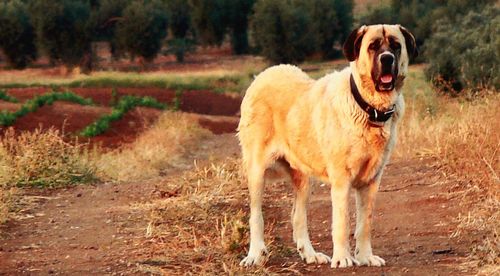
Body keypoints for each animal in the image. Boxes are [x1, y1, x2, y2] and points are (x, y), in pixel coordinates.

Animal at [238, 24, 418, 268]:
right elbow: (342, 222)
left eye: (396, 45)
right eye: (373, 46)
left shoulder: (371, 181)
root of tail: (262, 75)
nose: (387, 58)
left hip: (304, 178)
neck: (368, 109)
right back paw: (255, 254)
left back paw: (310, 254)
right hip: (257, 170)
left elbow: (365, 224)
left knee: (298, 216)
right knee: (256, 215)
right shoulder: (342, 180)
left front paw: (365, 256)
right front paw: (343, 258)